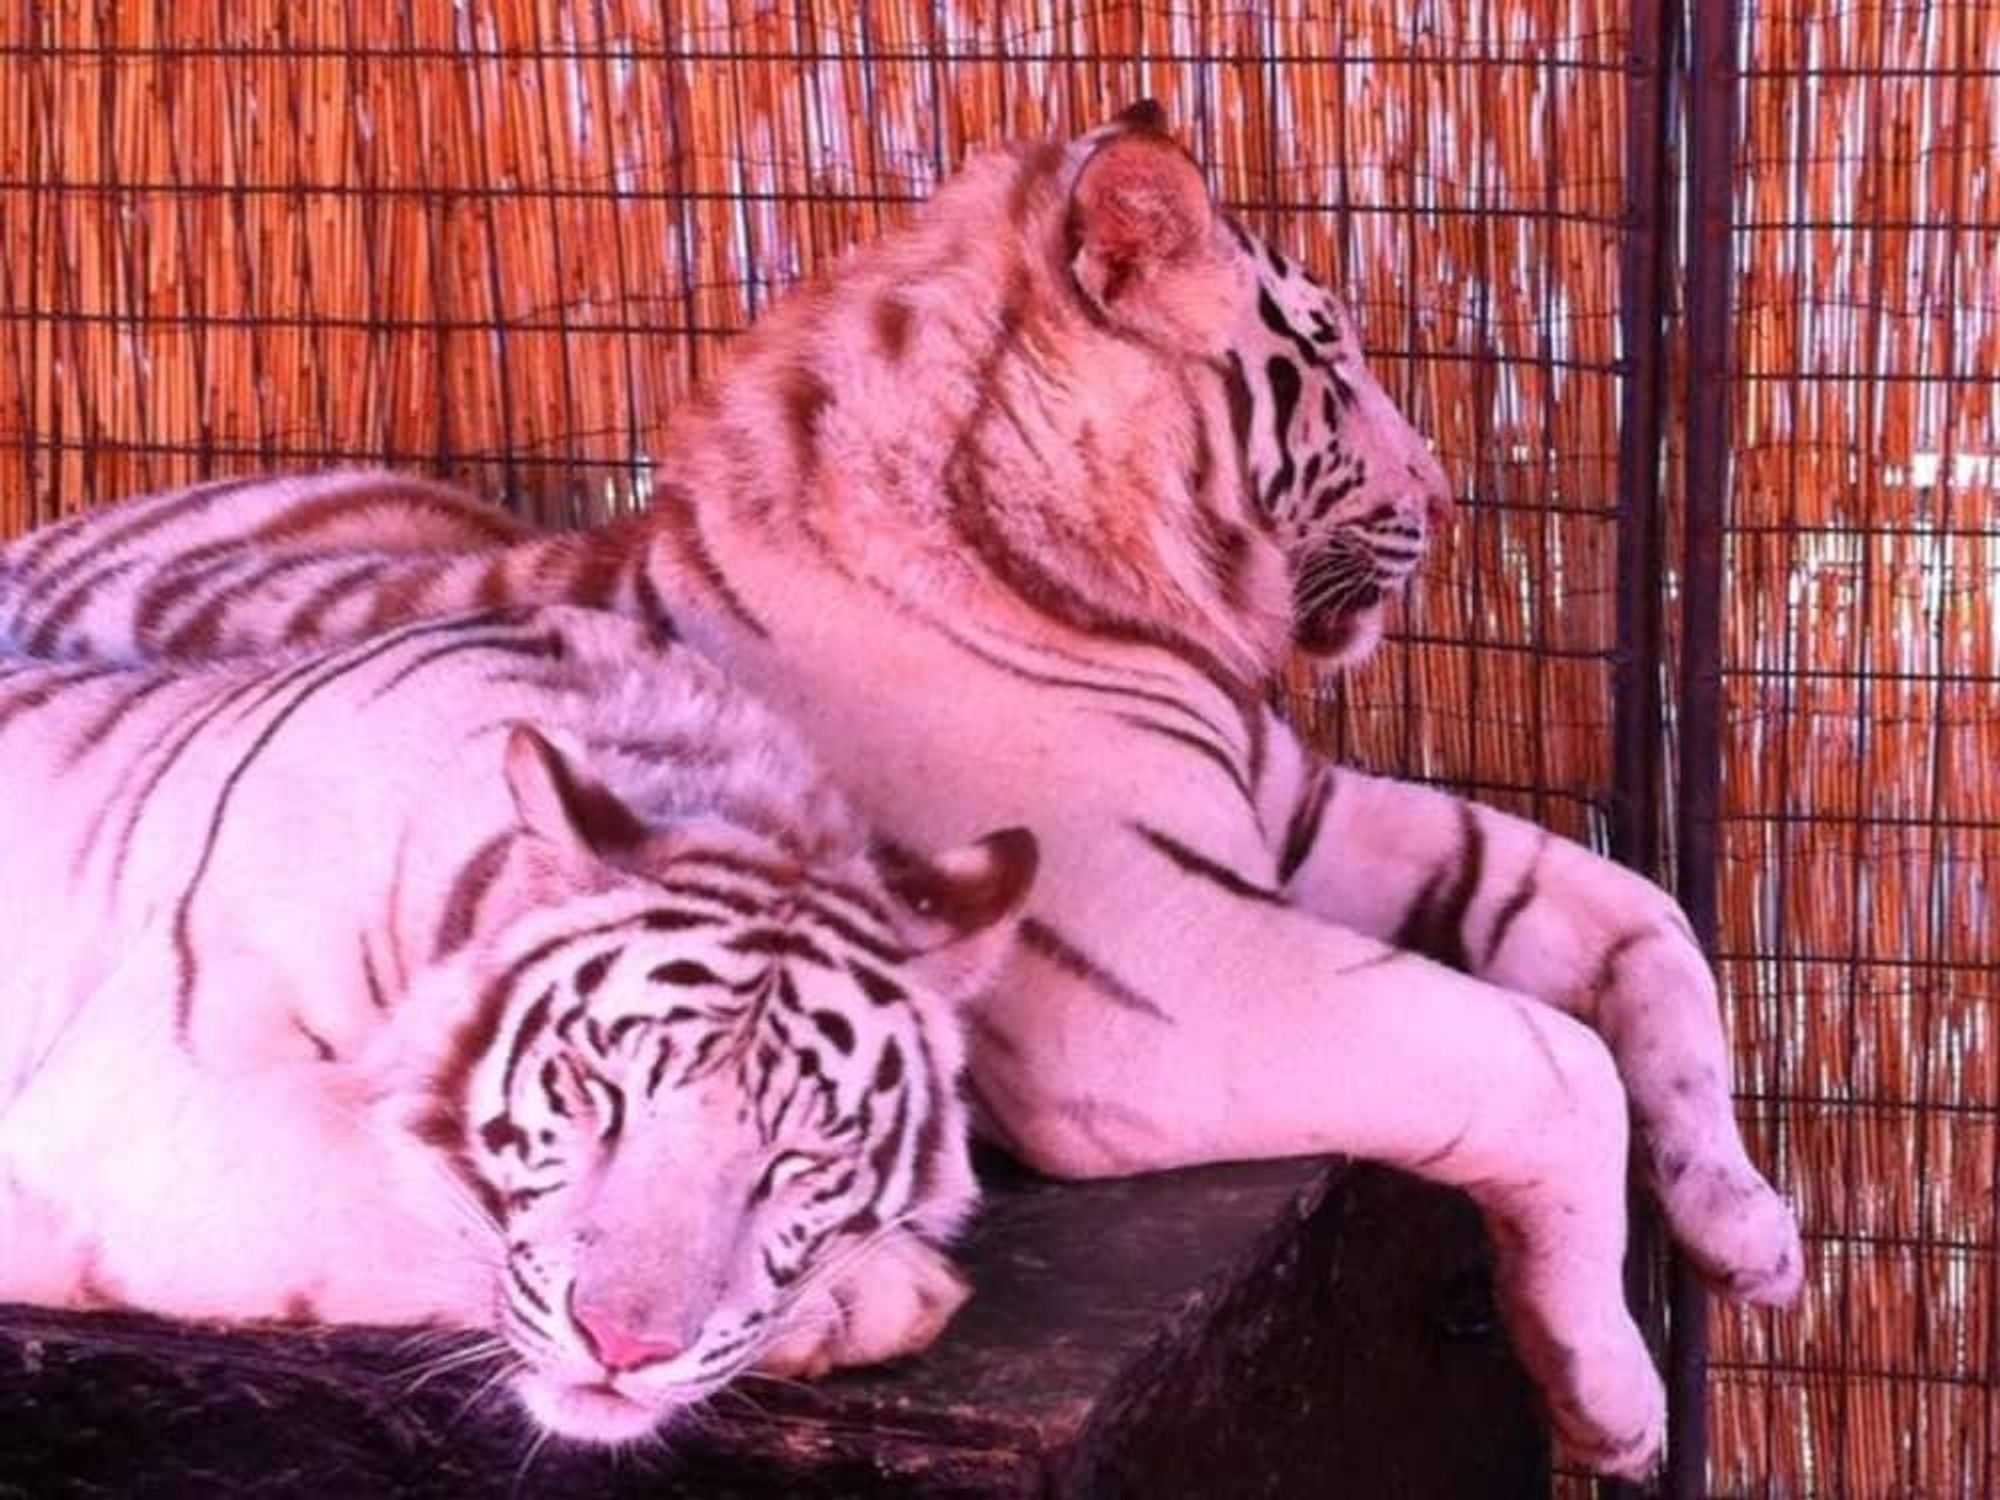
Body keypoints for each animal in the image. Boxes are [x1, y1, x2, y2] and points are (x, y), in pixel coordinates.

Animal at [0, 606, 1036, 1444]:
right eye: (597, 1095)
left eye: (801, 1162)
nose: (627, 1345)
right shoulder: (148, 1105)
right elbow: (425, 1194)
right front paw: (867, 1293)